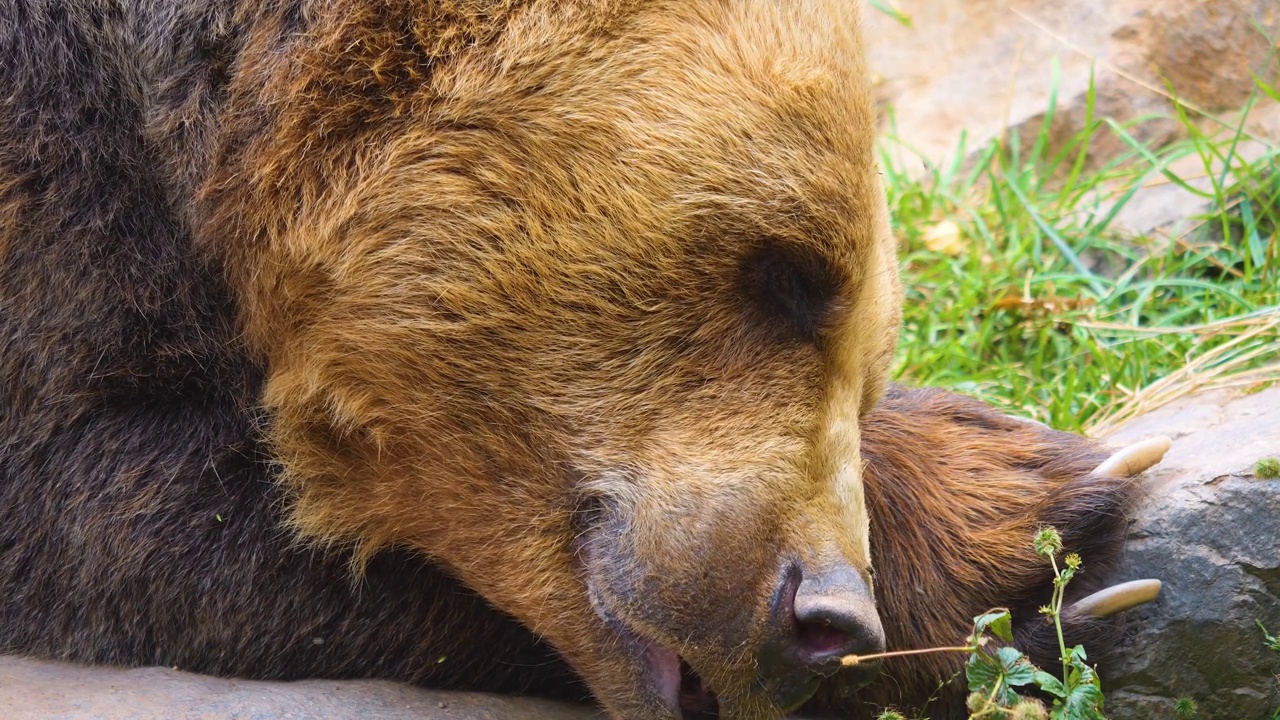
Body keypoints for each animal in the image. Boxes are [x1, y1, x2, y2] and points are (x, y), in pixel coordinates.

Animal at [0, 1, 1157, 717]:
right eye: (788, 274)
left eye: (865, 367)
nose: (822, 614)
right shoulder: (56, 180)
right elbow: (109, 494)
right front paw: (1035, 525)